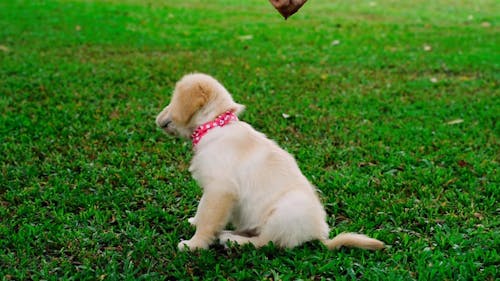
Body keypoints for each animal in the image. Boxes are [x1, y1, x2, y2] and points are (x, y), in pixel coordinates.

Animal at [154, 73, 384, 250]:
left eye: (172, 99)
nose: (156, 118)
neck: (215, 125)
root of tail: (319, 236)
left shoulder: (221, 189)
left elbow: (209, 220)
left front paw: (194, 245)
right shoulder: (213, 189)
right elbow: (203, 209)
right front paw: (195, 221)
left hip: (284, 211)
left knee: (266, 241)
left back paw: (233, 240)